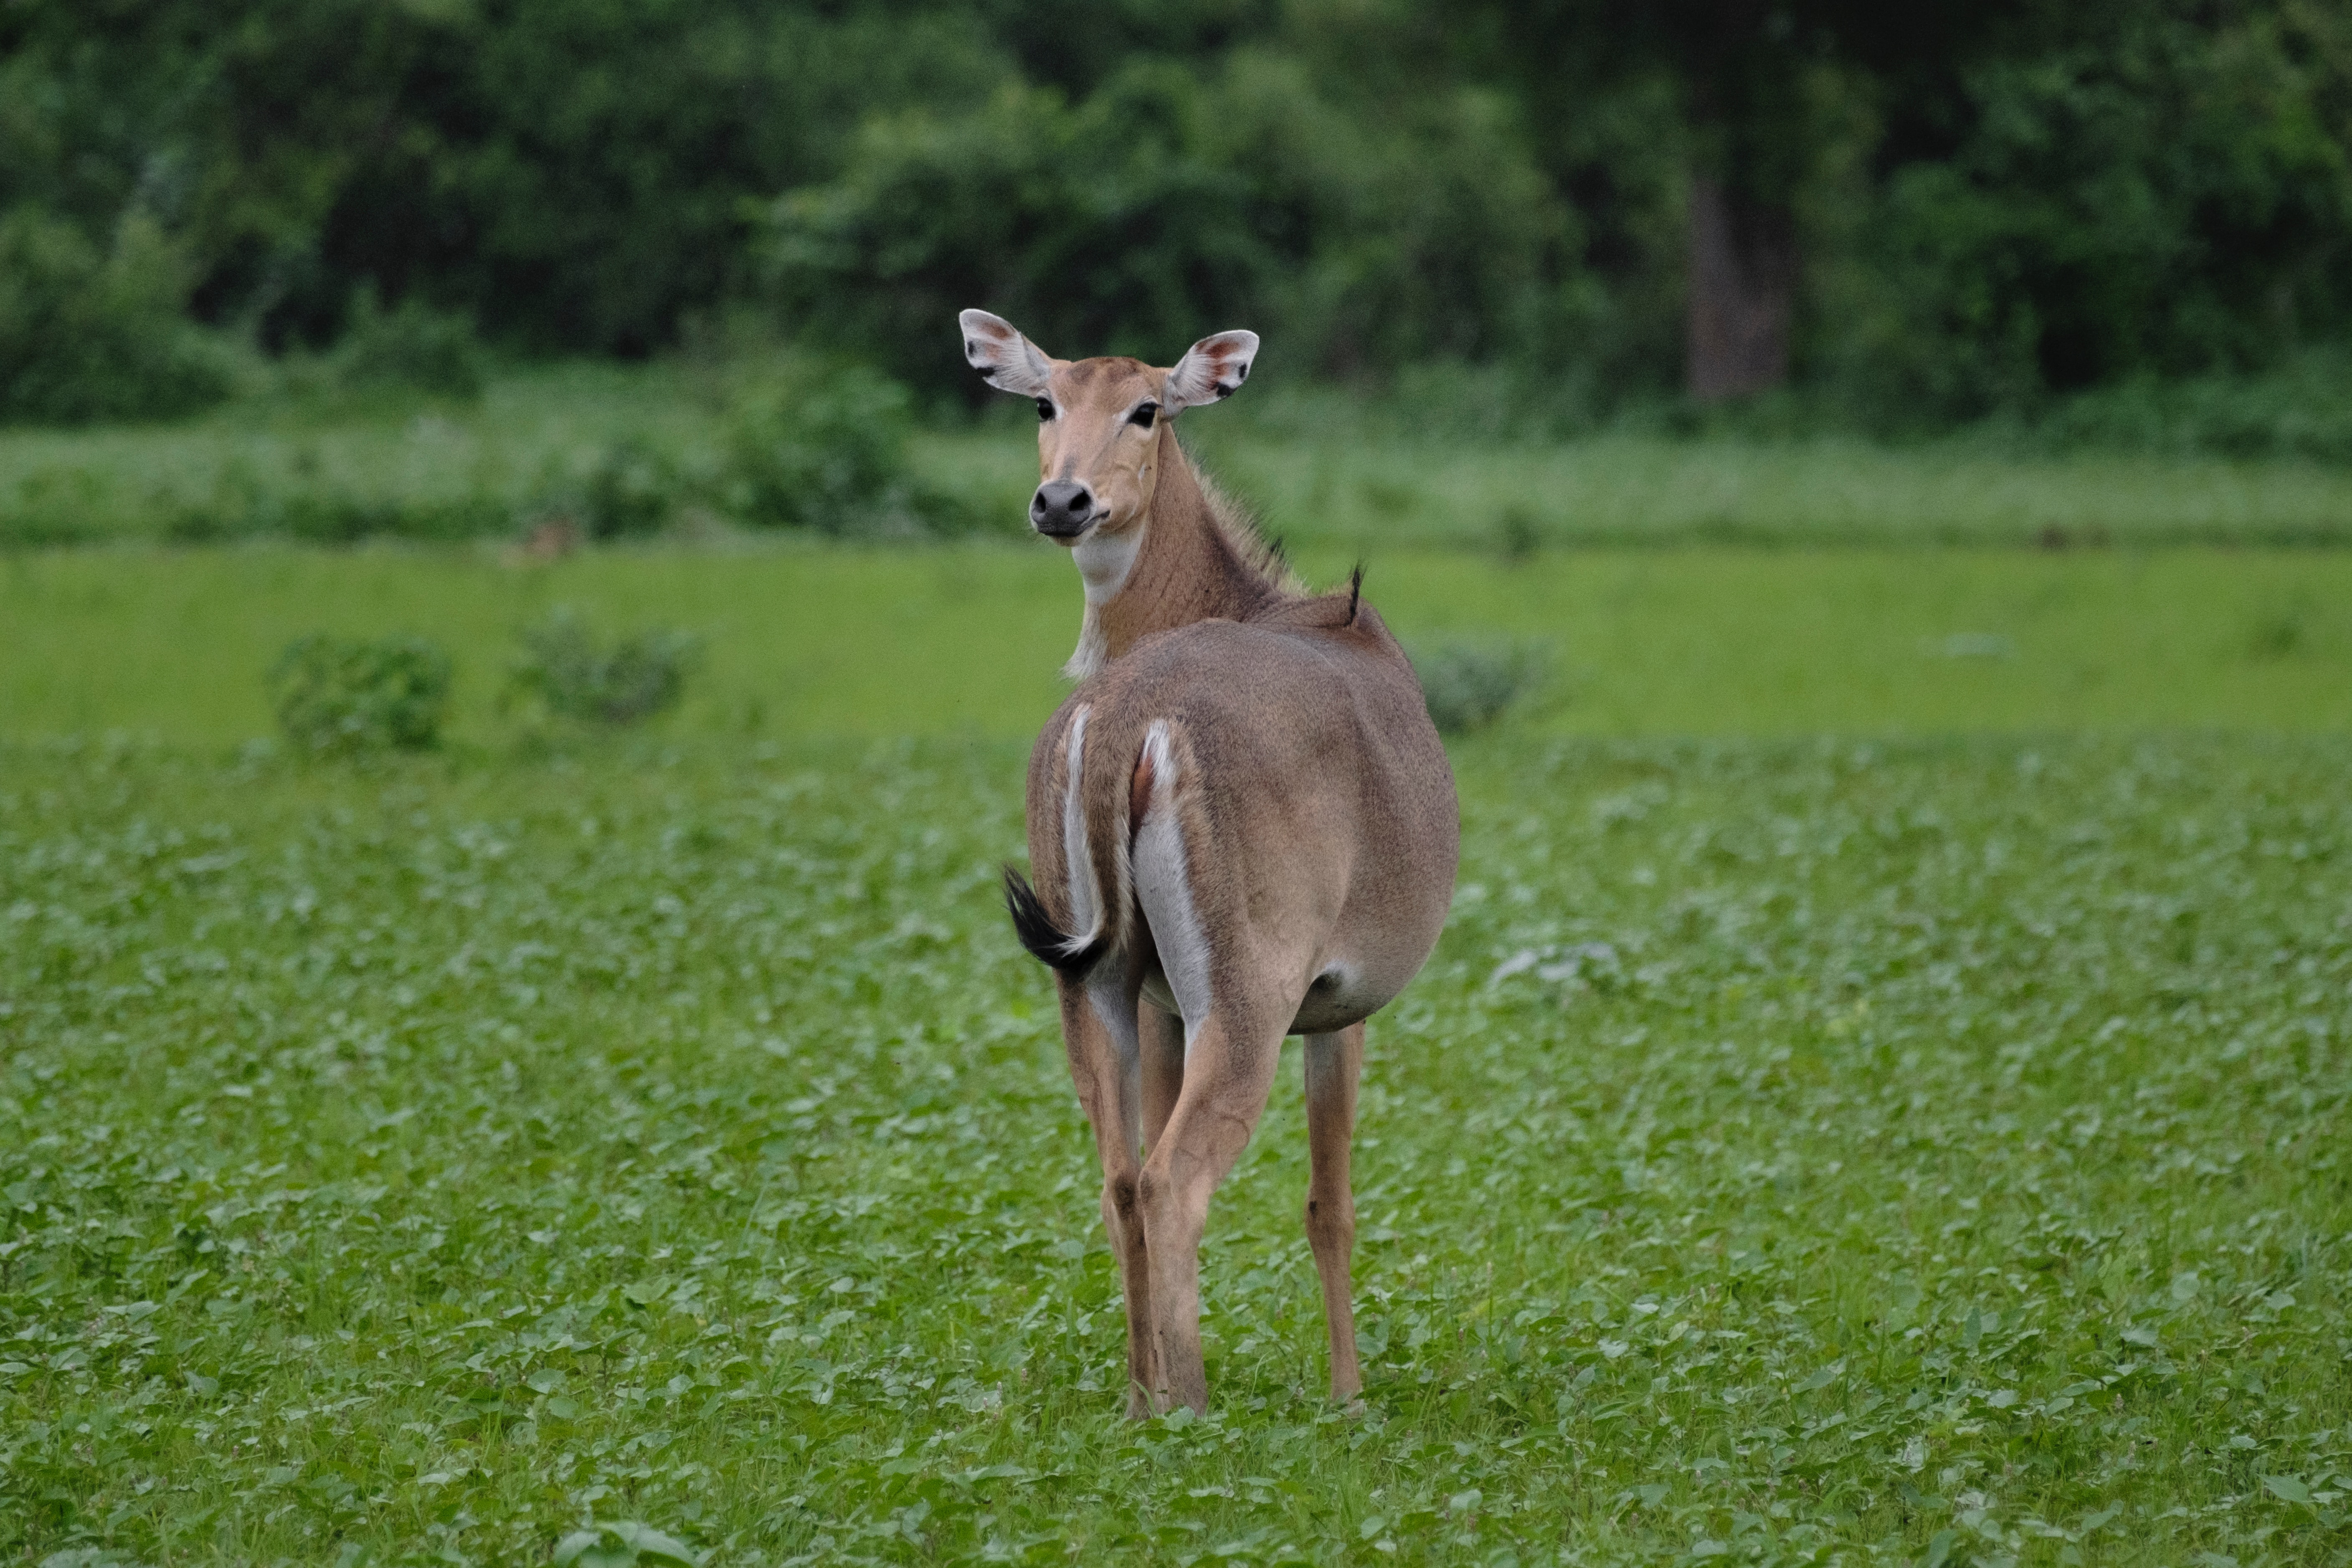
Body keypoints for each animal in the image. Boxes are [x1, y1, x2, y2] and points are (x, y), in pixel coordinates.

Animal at [955, 312, 1449, 1420]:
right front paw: (1349, 1398)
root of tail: (1123, 723)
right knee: (1174, 1180)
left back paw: (1143, 1402)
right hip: (1244, 992)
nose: (1064, 500)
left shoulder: (1156, 1005)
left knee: (1119, 1178)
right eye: (1044, 401)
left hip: (1091, 982)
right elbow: (1329, 1201)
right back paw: (1193, 1409)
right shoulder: (1339, 1003)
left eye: (1145, 407)